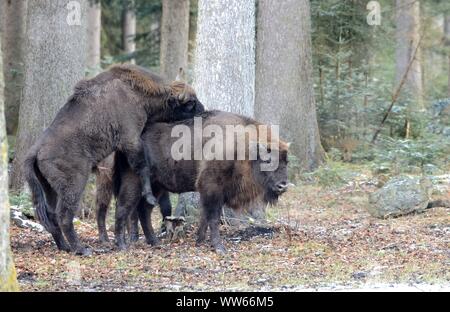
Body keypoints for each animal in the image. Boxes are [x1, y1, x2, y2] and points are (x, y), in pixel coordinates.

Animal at [22, 64, 202, 255]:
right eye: (190, 103)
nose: (203, 110)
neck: (136, 92)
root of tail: (36, 150)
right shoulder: (131, 138)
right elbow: (142, 167)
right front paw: (149, 196)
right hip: (74, 186)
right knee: (65, 215)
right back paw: (82, 249)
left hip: (49, 188)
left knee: (52, 216)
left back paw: (65, 247)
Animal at [110, 111, 292, 252]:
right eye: (267, 160)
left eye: (286, 162)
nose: (282, 185)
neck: (243, 148)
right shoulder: (212, 188)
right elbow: (213, 217)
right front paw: (219, 247)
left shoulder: (211, 192)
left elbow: (205, 216)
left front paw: (199, 241)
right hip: (134, 182)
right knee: (123, 208)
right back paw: (122, 246)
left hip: (156, 187)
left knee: (144, 211)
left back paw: (154, 243)